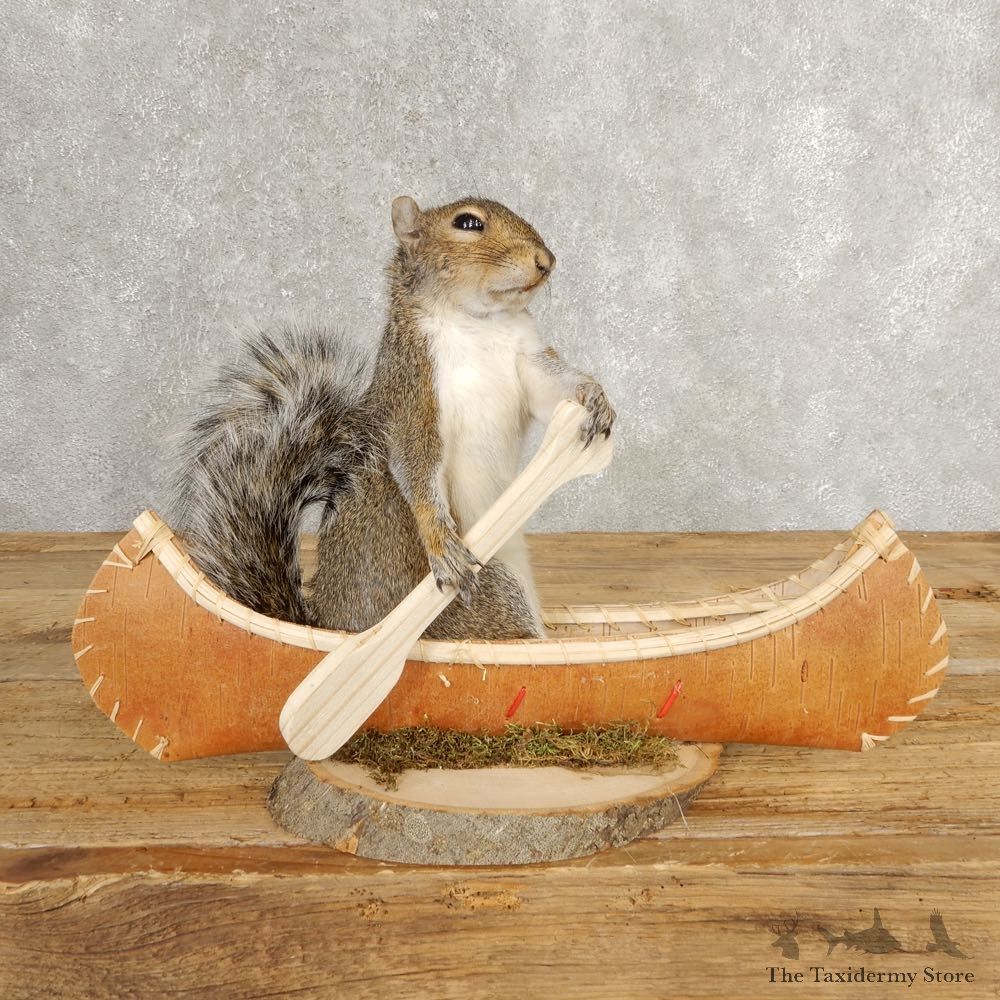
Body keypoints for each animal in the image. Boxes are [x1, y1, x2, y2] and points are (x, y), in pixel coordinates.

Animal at [171, 195, 615, 641]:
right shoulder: (413, 387)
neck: (479, 323)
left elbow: (550, 391)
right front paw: (441, 543)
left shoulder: (527, 359)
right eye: (468, 223)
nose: (546, 261)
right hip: (492, 595)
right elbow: (417, 462)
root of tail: (336, 626)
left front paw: (594, 397)